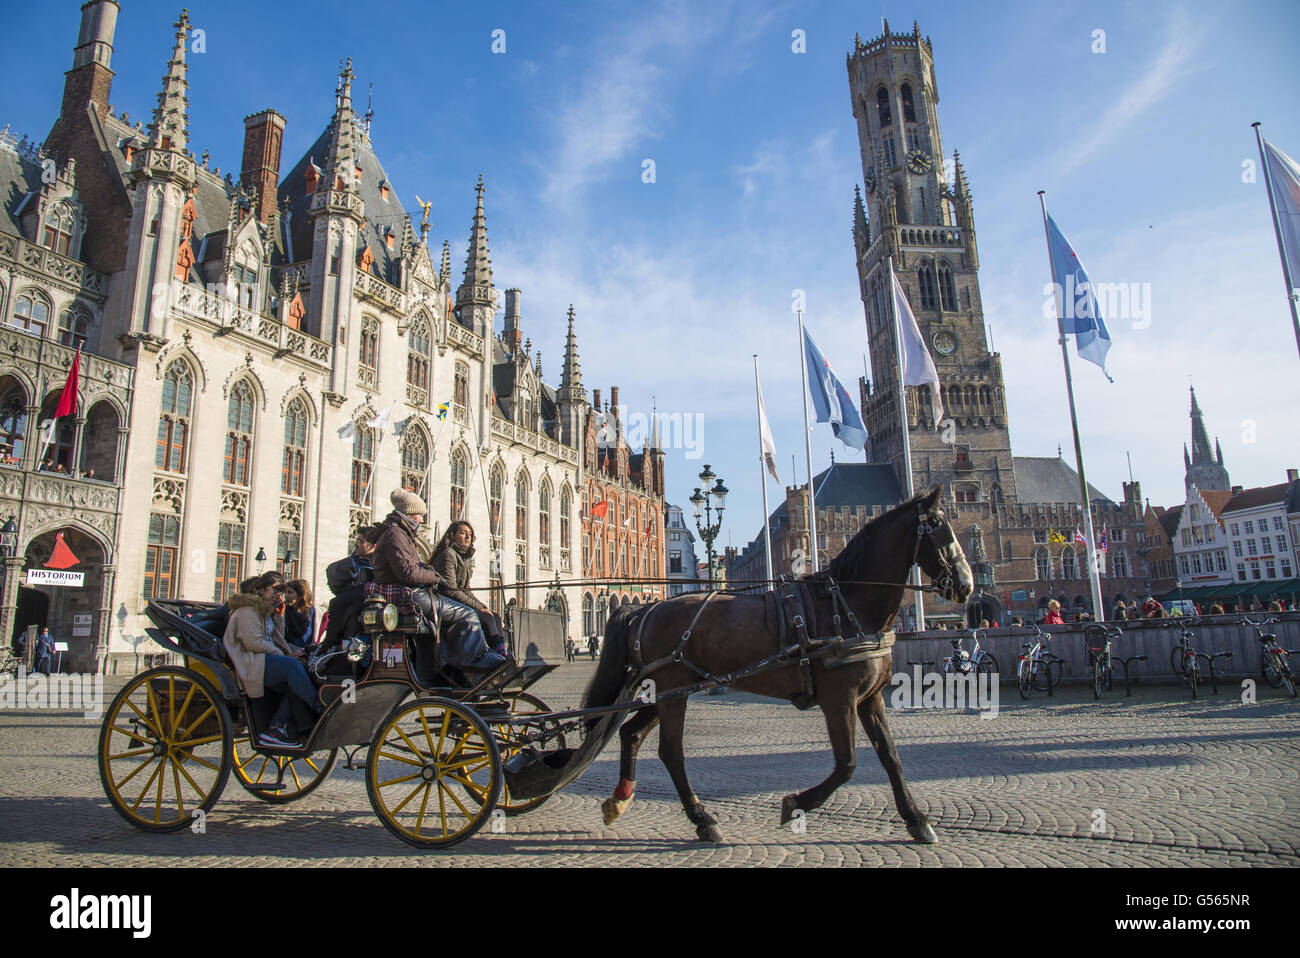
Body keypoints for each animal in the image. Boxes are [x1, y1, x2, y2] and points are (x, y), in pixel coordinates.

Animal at [581, 485, 973, 844]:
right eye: (938, 527)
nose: (966, 585)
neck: (845, 605)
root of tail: (646, 609)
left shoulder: (870, 698)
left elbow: (891, 756)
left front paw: (916, 819)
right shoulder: (839, 700)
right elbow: (846, 763)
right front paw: (795, 804)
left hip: (667, 691)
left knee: (632, 734)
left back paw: (620, 801)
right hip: (674, 691)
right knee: (671, 752)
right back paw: (703, 819)